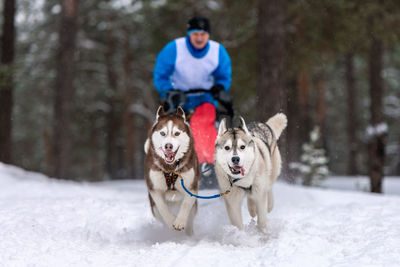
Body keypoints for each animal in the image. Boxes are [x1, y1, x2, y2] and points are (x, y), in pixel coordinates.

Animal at [144, 105, 200, 236]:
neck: (170, 169)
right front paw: (170, 221)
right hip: (153, 207)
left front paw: (179, 222)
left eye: (177, 133)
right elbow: (162, 207)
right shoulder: (154, 188)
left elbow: (186, 205)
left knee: (190, 216)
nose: (168, 146)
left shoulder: (191, 186)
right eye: (163, 133)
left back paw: (189, 234)